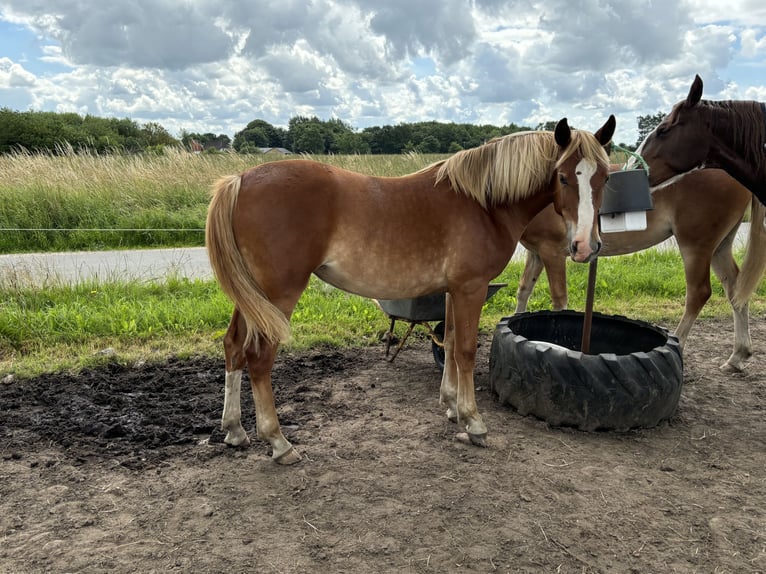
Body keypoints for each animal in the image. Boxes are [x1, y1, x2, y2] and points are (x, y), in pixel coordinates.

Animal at [206, 116, 616, 464]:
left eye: (604, 178)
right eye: (563, 177)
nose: (585, 246)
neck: (483, 203)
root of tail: (240, 179)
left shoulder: (453, 290)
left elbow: (449, 342)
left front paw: (450, 405)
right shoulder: (471, 288)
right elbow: (466, 350)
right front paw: (473, 421)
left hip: (253, 298)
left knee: (233, 346)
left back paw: (235, 430)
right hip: (278, 296)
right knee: (259, 357)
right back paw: (278, 442)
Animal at [512, 169, 766, 372]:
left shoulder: (552, 253)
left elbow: (558, 299)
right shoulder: (536, 254)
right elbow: (523, 290)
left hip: (696, 245)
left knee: (698, 294)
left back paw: (679, 346)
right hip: (719, 247)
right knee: (735, 291)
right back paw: (737, 356)